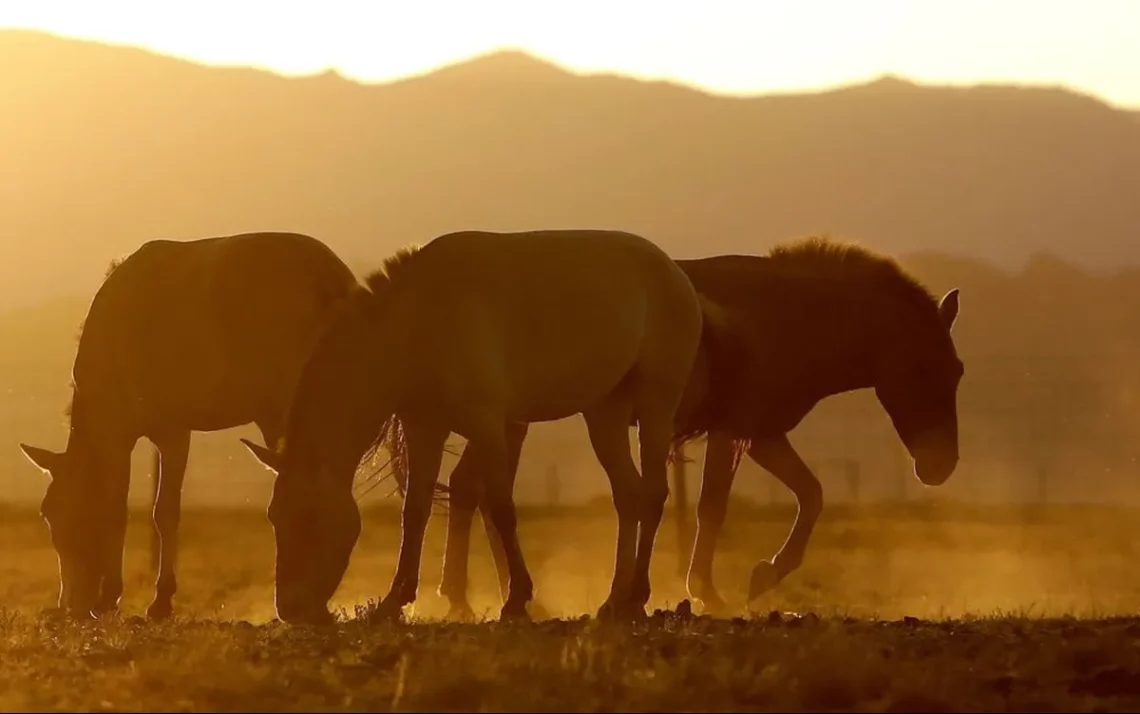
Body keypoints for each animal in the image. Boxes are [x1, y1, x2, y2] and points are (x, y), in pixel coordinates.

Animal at [20, 232, 362, 615]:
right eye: (46, 514)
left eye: (58, 515)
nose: (70, 604)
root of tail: (330, 279)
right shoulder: (172, 431)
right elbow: (166, 511)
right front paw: (160, 599)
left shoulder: (122, 432)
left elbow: (118, 509)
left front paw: (112, 597)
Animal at [242, 228, 711, 620]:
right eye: (273, 517)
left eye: (310, 520)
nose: (290, 609)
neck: (415, 323)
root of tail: (673, 270)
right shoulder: (424, 427)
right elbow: (415, 510)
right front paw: (394, 601)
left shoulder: (488, 424)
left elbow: (502, 506)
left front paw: (517, 599)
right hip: (604, 413)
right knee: (628, 497)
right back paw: (614, 600)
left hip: (655, 404)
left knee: (652, 495)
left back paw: (636, 597)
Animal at [430, 234, 966, 615]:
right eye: (923, 369)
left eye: (957, 371)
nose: (939, 467)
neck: (780, 315)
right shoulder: (737, 432)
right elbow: (714, 507)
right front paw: (712, 590)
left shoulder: (762, 432)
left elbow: (810, 494)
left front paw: (765, 574)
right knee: (476, 492)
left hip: (508, 421)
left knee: (470, 490)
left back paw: (483, 598)